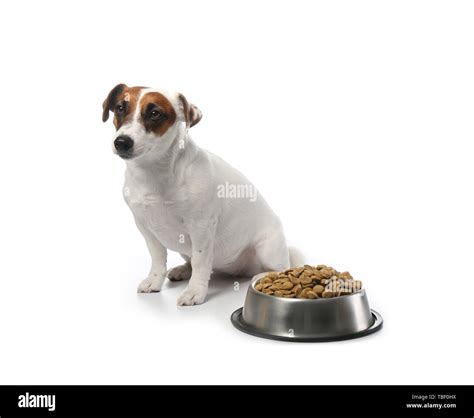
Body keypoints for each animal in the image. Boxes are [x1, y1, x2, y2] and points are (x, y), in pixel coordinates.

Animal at [103, 85, 304, 306]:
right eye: (120, 108)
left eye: (155, 113)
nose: (122, 142)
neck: (153, 173)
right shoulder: (145, 227)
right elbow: (157, 259)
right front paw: (155, 281)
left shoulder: (201, 226)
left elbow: (200, 262)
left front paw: (195, 291)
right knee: (195, 263)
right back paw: (183, 270)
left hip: (268, 250)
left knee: (278, 269)